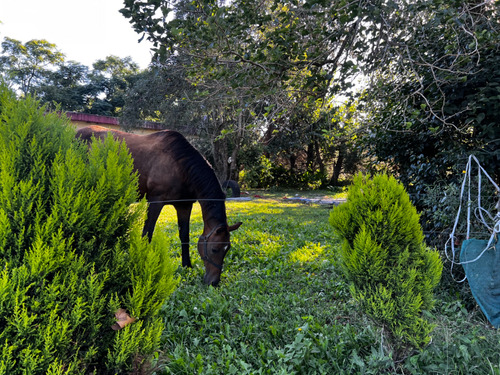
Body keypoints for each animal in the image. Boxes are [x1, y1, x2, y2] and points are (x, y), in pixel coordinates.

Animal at [76, 125, 242, 286]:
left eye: (227, 249)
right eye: (214, 249)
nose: (214, 282)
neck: (179, 165)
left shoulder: (184, 205)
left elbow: (184, 235)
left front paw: (186, 265)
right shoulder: (155, 201)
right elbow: (147, 234)